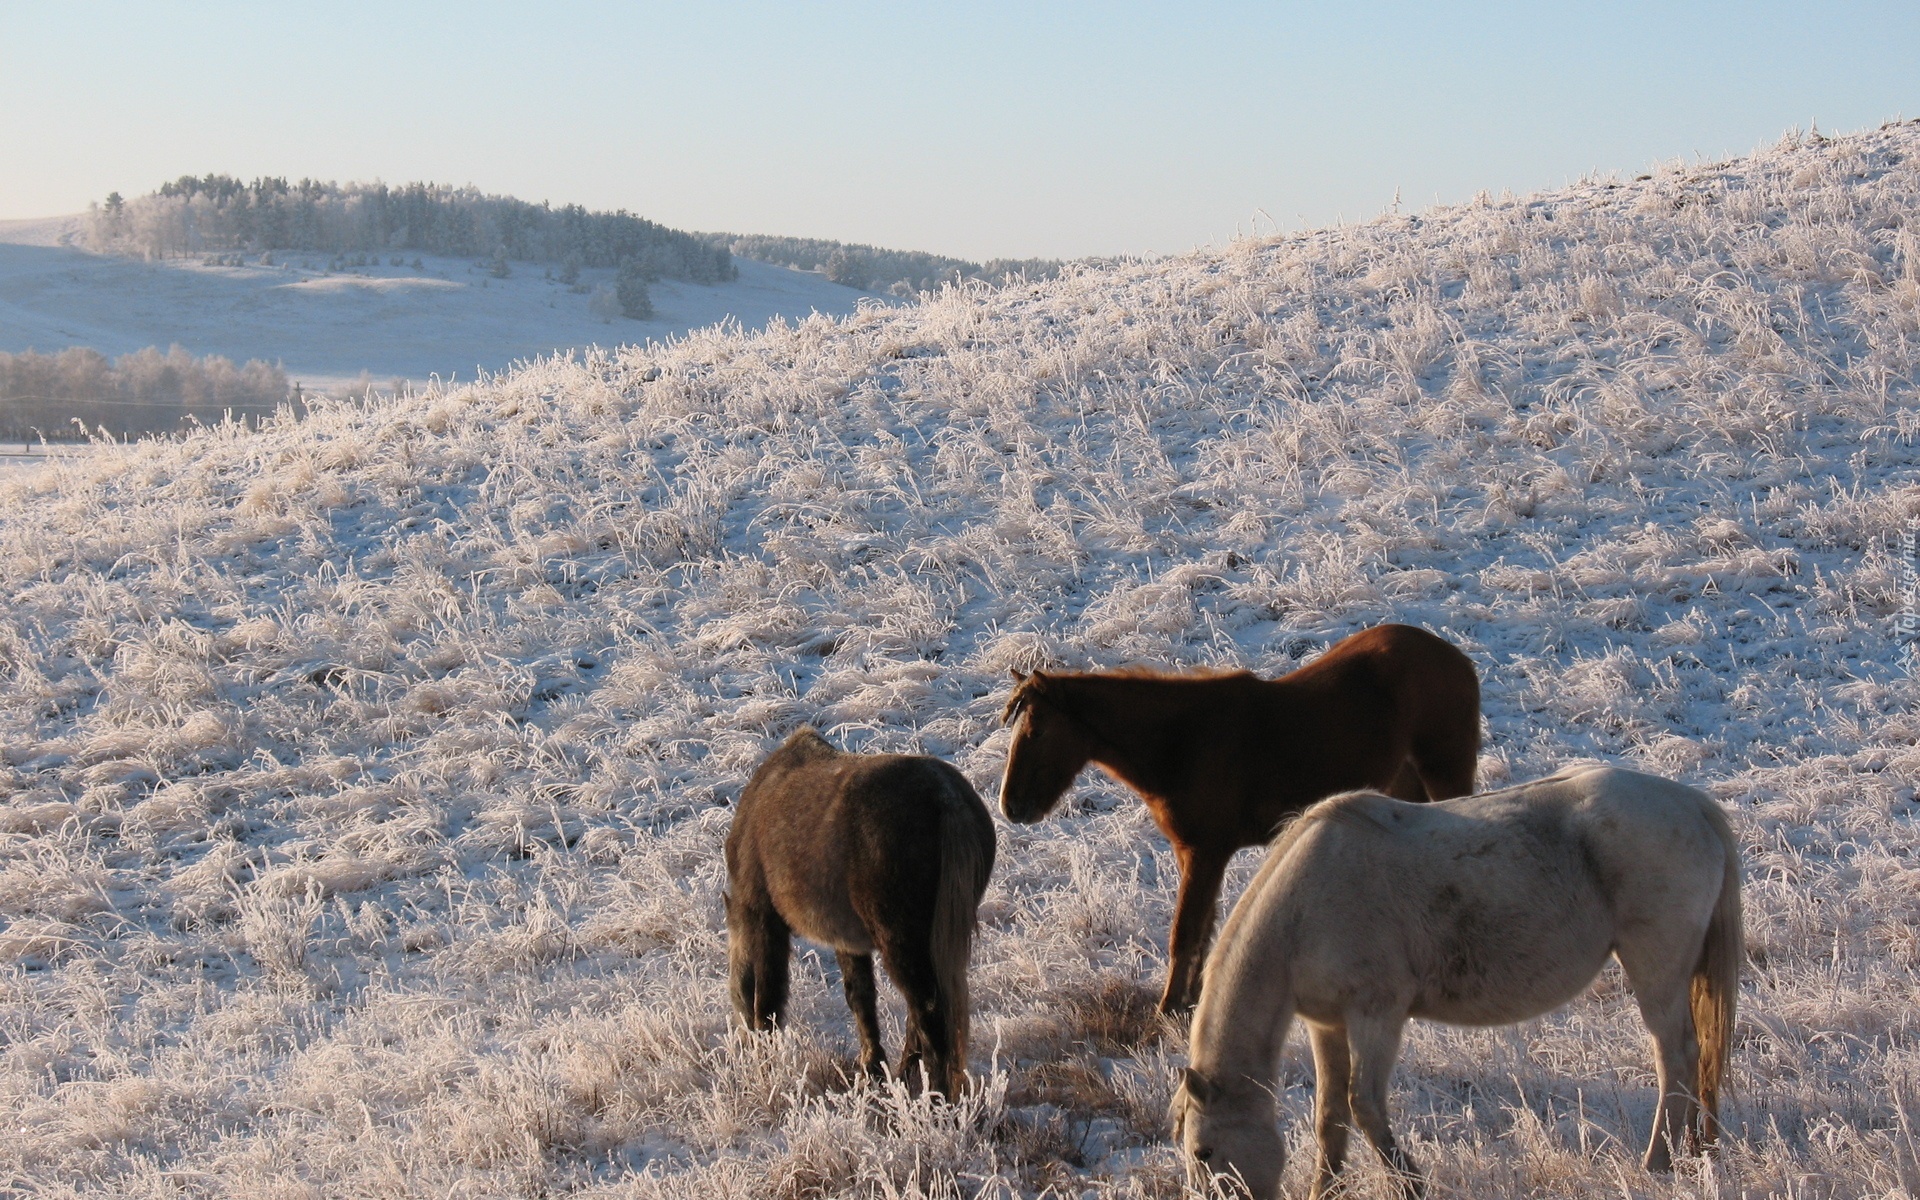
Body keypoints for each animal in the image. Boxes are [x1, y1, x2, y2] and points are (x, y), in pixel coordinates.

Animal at [721, 725, 990, 1098]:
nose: (741, 1045)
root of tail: (946, 797)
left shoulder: (765, 919)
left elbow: (770, 997)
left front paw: (766, 1059)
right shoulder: (848, 940)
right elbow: (860, 998)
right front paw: (872, 1068)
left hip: (902, 941)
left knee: (929, 1013)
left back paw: (935, 1098)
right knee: (921, 1012)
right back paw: (906, 1076)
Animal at [998, 622, 1474, 1013]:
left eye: (1037, 732)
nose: (1011, 806)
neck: (1182, 743)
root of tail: (1454, 655)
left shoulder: (1205, 852)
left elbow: (1186, 932)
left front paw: (1169, 1009)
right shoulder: (1194, 854)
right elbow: (1203, 929)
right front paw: (1190, 1001)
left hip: (1446, 772)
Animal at [1167, 764, 1743, 1190]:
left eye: (1205, 1151)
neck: (1304, 909)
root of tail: (1694, 805)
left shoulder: (1376, 1014)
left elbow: (1364, 1105)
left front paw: (1412, 1184)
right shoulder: (1327, 1024)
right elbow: (1330, 1119)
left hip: (1655, 969)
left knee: (1677, 1059)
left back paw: (1657, 1164)